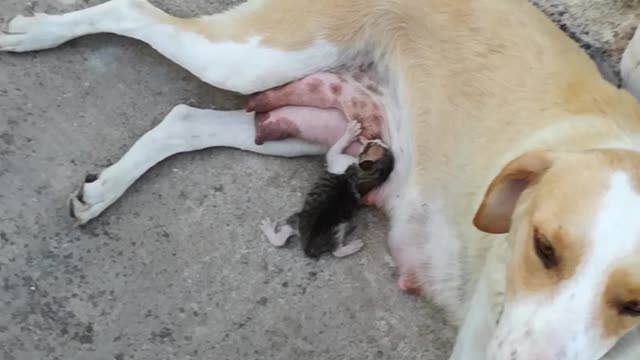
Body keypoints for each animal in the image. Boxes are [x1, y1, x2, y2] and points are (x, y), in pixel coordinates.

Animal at [258, 121, 392, 258]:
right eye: (376, 144)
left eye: (370, 145)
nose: (377, 139)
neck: (369, 175)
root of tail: (307, 245)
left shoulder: (338, 159)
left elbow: (334, 148)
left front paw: (350, 132)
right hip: (304, 220)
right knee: (281, 239)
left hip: (332, 228)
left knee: (336, 251)